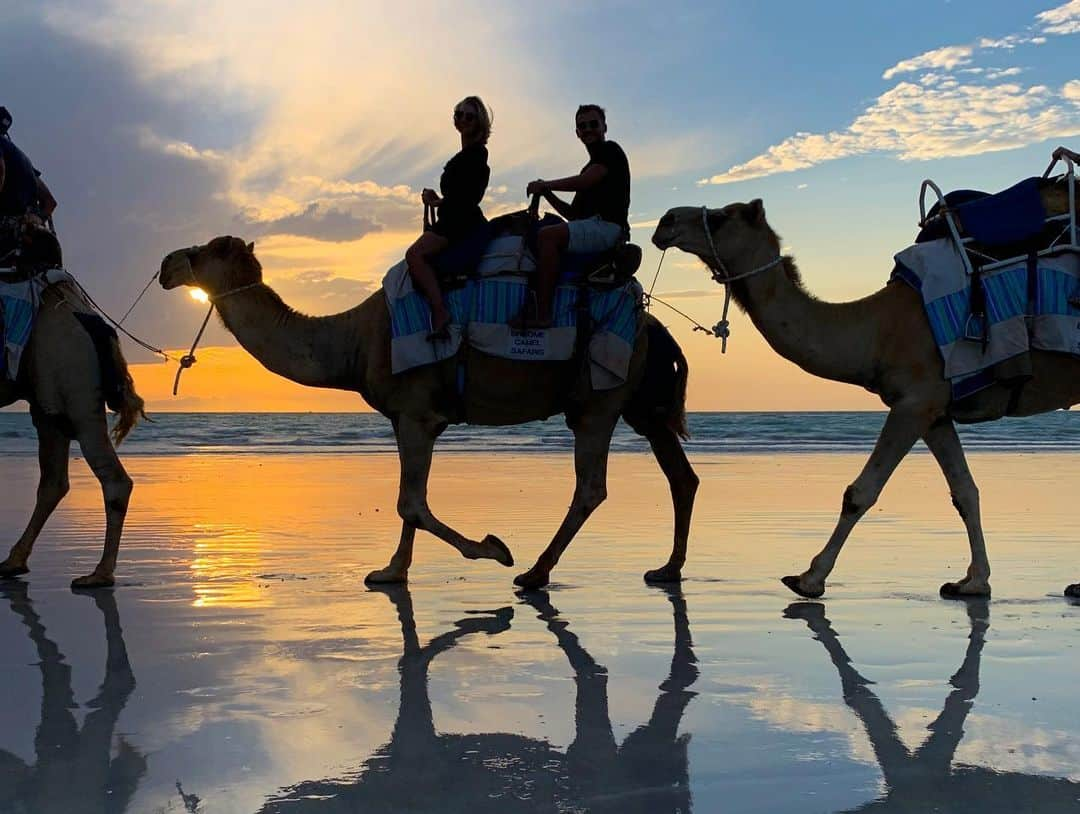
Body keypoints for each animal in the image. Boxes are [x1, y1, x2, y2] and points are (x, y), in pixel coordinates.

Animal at [0, 278, 144, 582]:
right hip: (48, 403)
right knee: (54, 481)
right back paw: (14, 562)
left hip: (72, 382)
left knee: (113, 478)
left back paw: (99, 574)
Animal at [159, 237, 699, 587]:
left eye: (200, 252)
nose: (165, 266)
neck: (354, 341)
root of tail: (653, 324)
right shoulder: (414, 419)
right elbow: (410, 500)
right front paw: (391, 572)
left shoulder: (415, 411)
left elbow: (411, 503)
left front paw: (493, 549)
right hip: (641, 406)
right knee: (681, 476)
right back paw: (667, 569)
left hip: (598, 399)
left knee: (591, 487)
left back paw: (533, 573)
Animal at [652, 195, 1080, 595]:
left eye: (722, 217)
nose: (665, 220)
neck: (876, 331)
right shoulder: (935, 411)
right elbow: (964, 491)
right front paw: (972, 582)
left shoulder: (914, 402)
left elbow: (860, 492)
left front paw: (809, 577)